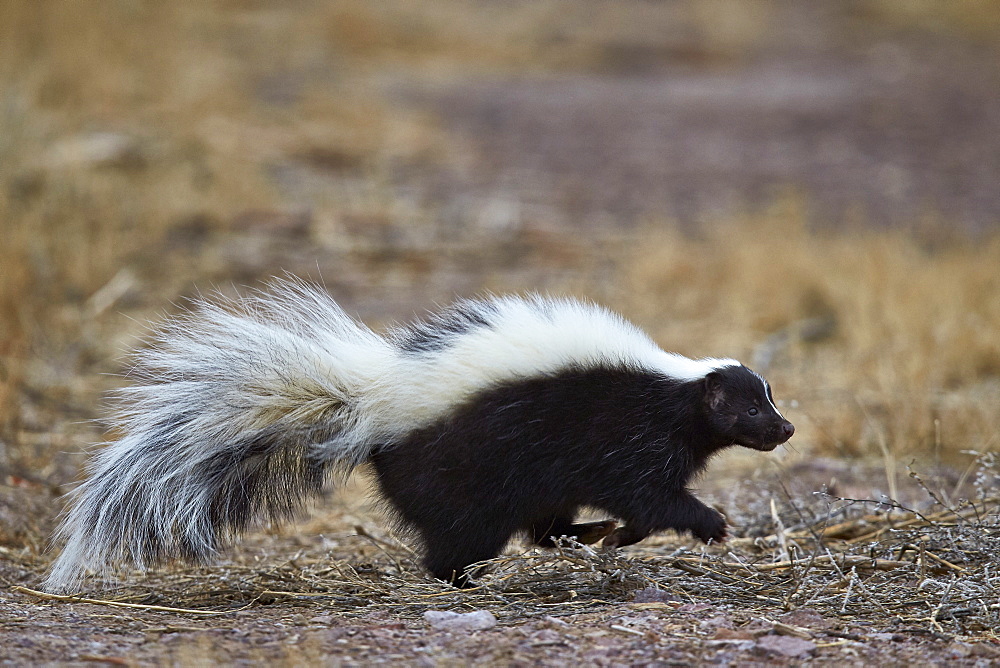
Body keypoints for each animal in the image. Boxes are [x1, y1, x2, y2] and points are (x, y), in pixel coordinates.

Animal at [45, 280, 796, 588]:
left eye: (768, 401)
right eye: (750, 411)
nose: (787, 428)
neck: (675, 387)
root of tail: (376, 399)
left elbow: (642, 502)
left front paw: (618, 535)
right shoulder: (628, 433)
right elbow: (648, 494)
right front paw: (710, 523)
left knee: (540, 523)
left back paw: (577, 537)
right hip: (464, 469)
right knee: (462, 534)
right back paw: (466, 581)